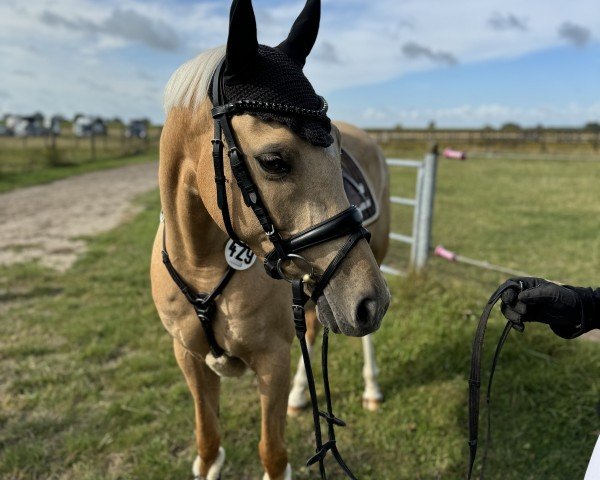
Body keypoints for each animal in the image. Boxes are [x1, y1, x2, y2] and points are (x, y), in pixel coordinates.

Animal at [152, 1, 392, 478]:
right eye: (274, 161)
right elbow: (208, 445)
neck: (201, 265)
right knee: (315, 328)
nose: (369, 301)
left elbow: (273, 454)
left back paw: (371, 389)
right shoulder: (188, 357)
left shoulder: (273, 361)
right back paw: (302, 397)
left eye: (337, 149)